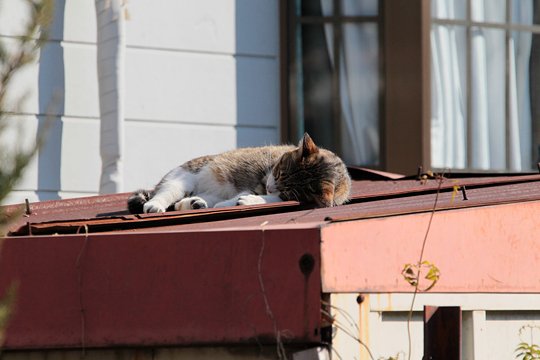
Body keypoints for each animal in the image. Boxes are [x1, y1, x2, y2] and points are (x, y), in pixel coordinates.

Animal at [128, 134, 352, 214]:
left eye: (288, 190)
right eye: (278, 171)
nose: (270, 186)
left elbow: (273, 198)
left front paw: (244, 201)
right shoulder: (261, 180)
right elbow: (251, 193)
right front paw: (240, 201)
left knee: (189, 201)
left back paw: (196, 203)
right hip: (183, 176)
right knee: (166, 193)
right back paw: (155, 205)